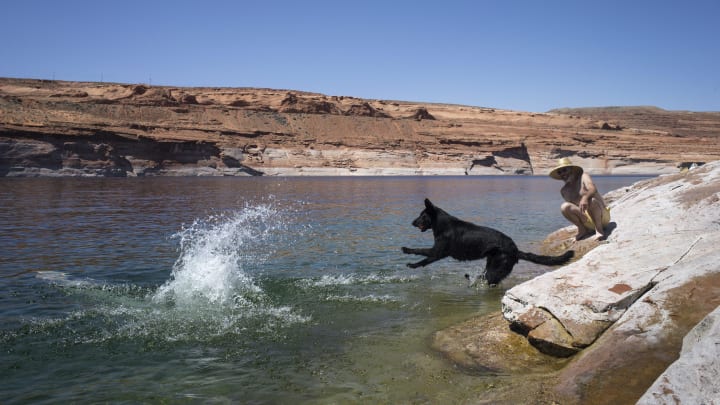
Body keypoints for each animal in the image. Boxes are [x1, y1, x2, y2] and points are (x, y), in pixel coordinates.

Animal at [400, 198, 572, 284]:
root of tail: (515, 250)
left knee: (487, 279)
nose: (412, 223)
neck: (442, 224)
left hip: (495, 269)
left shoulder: (437, 252)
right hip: (492, 264)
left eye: (422, 215)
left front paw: (408, 256)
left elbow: (421, 254)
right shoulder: (437, 252)